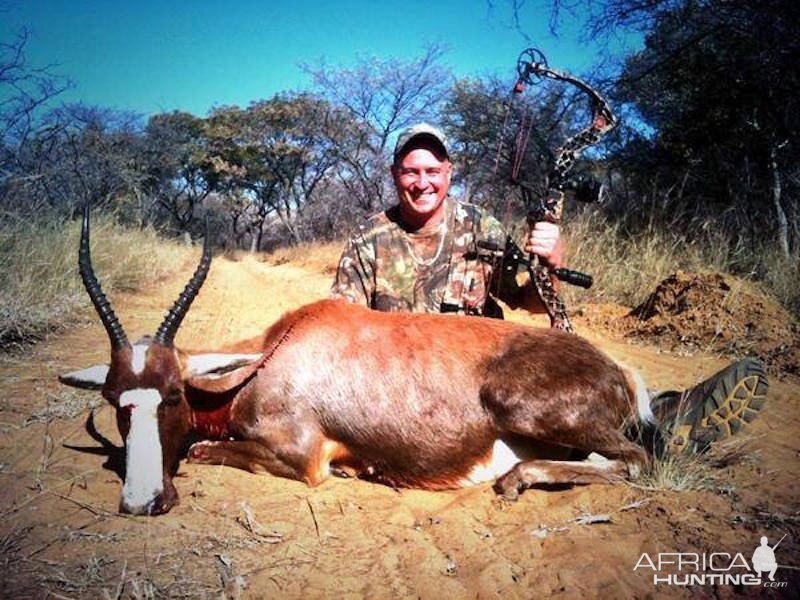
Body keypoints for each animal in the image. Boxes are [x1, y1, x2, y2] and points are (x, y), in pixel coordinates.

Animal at [59, 207, 652, 516]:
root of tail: (618, 370)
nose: (142, 501)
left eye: (174, 394)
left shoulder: (303, 457)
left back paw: (515, 480)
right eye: (113, 397)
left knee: (635, 460)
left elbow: (207, 448)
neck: (273, 352)